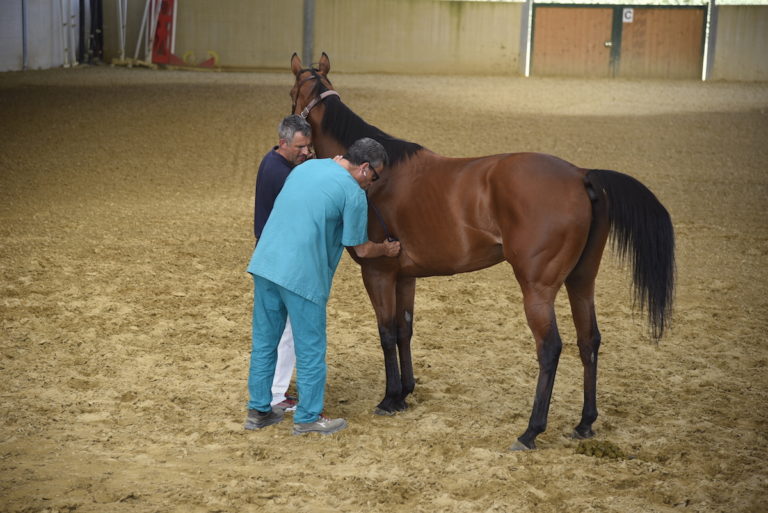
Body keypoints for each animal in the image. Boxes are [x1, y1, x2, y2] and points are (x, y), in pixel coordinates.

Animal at [292, 52, 676, 448]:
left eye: (292, 92)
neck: (379, 178)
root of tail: (580, 174)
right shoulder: (405, 276)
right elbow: (403, 330)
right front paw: (405, 393)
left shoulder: (378, 273)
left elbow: (385, 333)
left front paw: (389, 398)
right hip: (581, 281)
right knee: (590, 341)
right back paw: (585, 423)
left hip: (537, 289)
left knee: (550, 348)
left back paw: (531, 430)